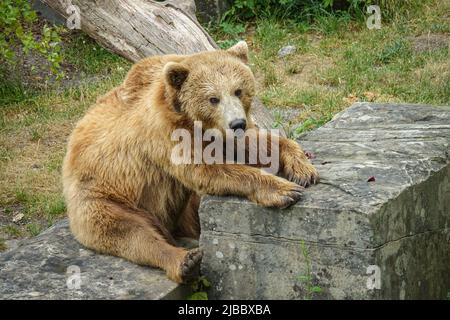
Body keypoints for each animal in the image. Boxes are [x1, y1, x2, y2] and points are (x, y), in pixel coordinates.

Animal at [61, 40, 318, 282]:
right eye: (213, 98)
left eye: (238, 90)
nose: (238, 123)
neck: (193, 121)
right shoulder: (165, 134)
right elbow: (205, 170)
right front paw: (285, 190)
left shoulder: (220, 134)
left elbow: (257, 144)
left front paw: (303, 167)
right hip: (101, 198)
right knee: (129, 232)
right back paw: (186, 261)